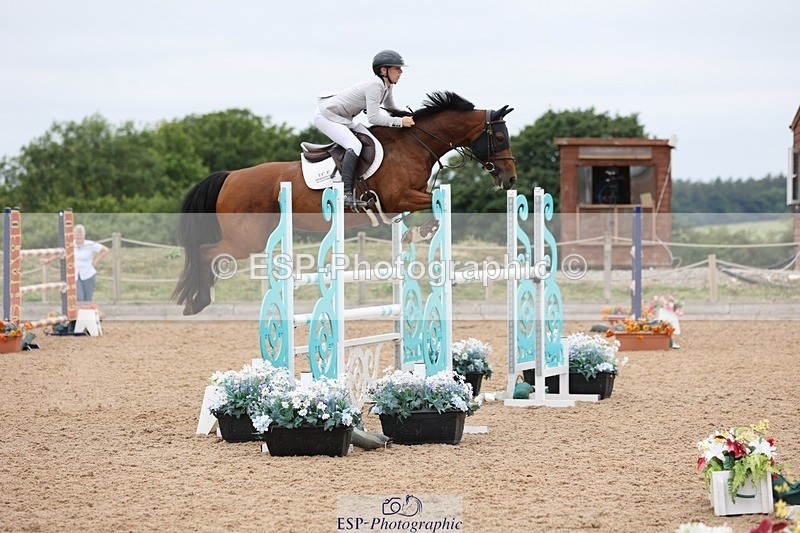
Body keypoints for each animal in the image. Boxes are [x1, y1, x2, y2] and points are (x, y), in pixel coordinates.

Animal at [173, 91, 517, 316]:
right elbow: (438, 202)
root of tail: (230, 176)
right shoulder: (397, 197)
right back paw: (199, 301)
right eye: (500, 138)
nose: (510, 179)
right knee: (206, 253)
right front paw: (424, 231)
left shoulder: (402, 200)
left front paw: (415, 233)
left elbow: (428, 207)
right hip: (247, 239)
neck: (413, 145)